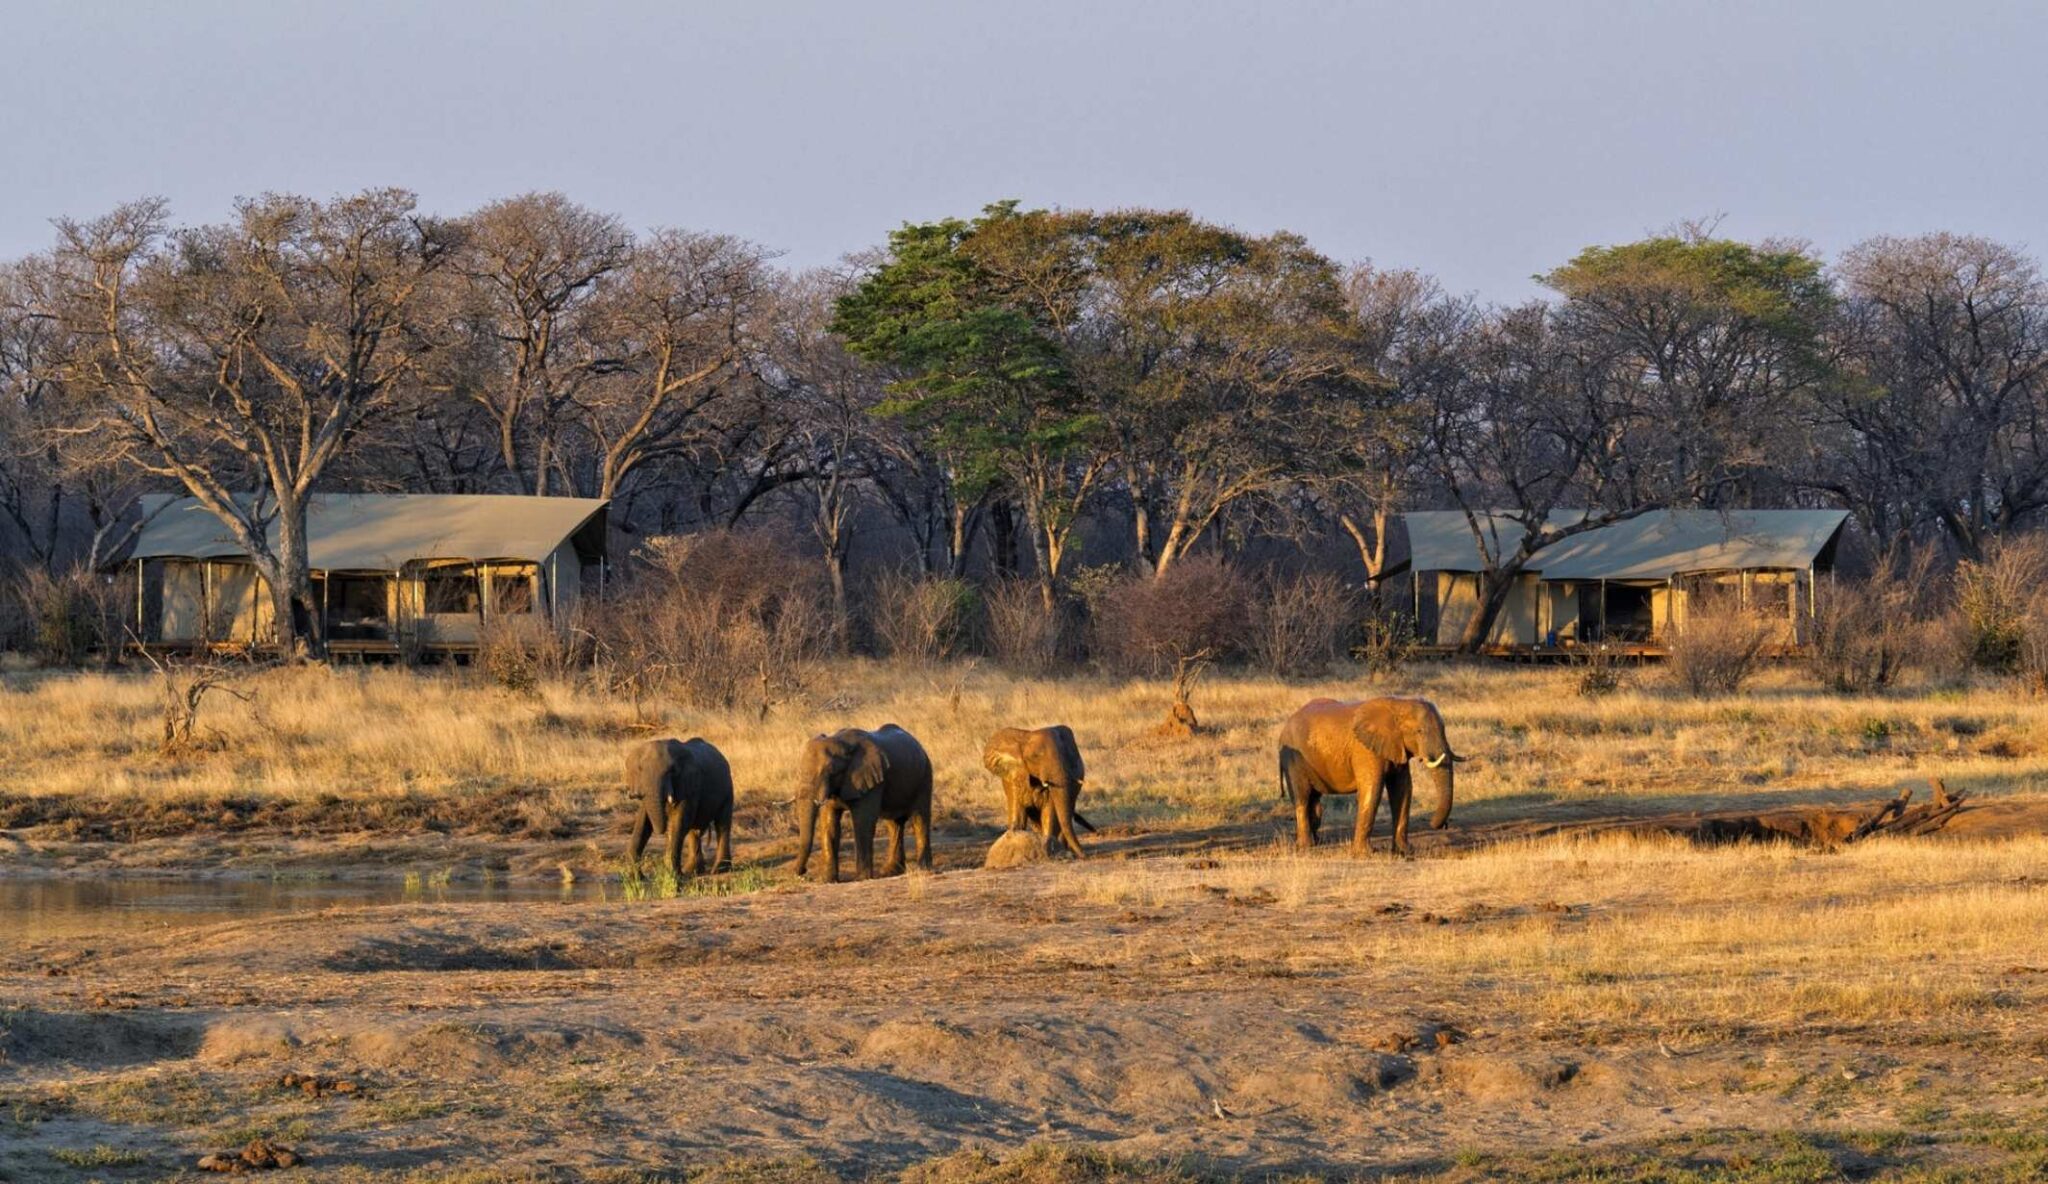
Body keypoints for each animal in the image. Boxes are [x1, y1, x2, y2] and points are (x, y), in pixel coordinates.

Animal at [626, 737, 735, 877]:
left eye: (673, 771)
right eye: (640, 769)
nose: (661, 832)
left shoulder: (689, 785)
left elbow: (679, 821)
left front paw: (672, 876)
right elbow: (643, 821)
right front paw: (636, 878)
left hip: (728, 789)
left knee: (722, 824)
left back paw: (720, 870)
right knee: (695, 830)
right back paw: (692, 871)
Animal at [793, 724, 934, 883]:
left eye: (831, 771)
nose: (802, 872)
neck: (841, 742)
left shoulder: (870, 779)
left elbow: (863, 822)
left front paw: (861, 879)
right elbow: (829, 823)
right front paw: (827, 881)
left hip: (924, 775)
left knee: (920, 819)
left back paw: (923, 869)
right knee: (894, 824)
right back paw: (891, 872)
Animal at [981, 725, 1097, 857]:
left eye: (1065, 756)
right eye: (1035, 757)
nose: (1084, 856)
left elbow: (1049, 810)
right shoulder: (1014, 778)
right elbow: (1018, 814)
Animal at [1275, 697, 1461, 856]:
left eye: (1444, 729)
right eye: (1419, 731)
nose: (1441, 825)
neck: (1398, 704)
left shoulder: (1396, 747)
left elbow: (1403, 791)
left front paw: (1405, 852)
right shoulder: (1366, 750)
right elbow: (1373, 790)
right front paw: (1365, 854)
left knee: (1314, 799)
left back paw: (1317, 842)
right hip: (1293, 759)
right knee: (1303, 797)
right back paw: (1306, 847)